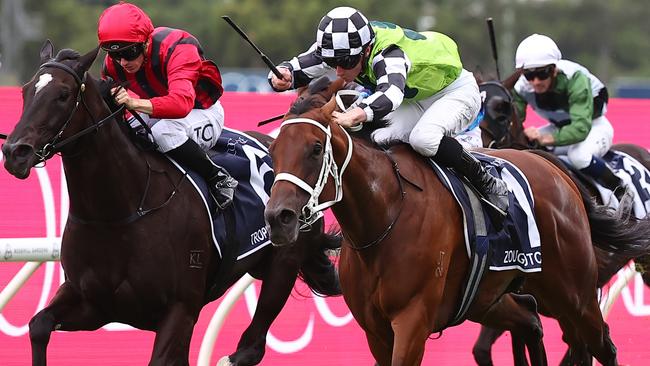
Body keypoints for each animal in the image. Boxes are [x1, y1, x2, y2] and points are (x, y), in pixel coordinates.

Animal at [0, 40, 342, 366]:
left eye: (63, 94)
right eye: (25, 91)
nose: (15, 152)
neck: (120, 211)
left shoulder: (181, 309)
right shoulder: (93, 302)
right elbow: (38, 325)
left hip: (283, 262)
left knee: (252, 346)